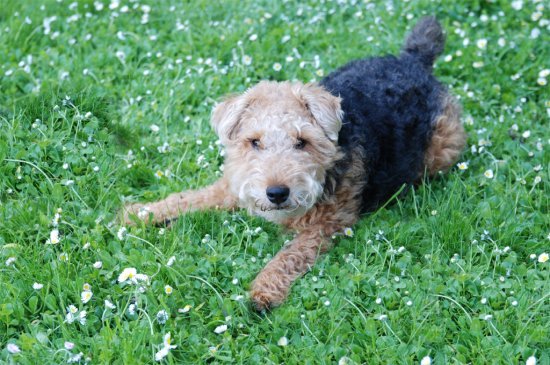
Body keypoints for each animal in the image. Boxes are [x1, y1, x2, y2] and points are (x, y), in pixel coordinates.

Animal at [124, 17, 466, 310]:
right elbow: (190, 197)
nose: (277, 193)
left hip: (443, 149)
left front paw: (264, 291)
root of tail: (414, 60)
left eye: (302, 142)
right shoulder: (235, 185)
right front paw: (138, 214)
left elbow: (290, 254)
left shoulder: (328, 223)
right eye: (254, 142)